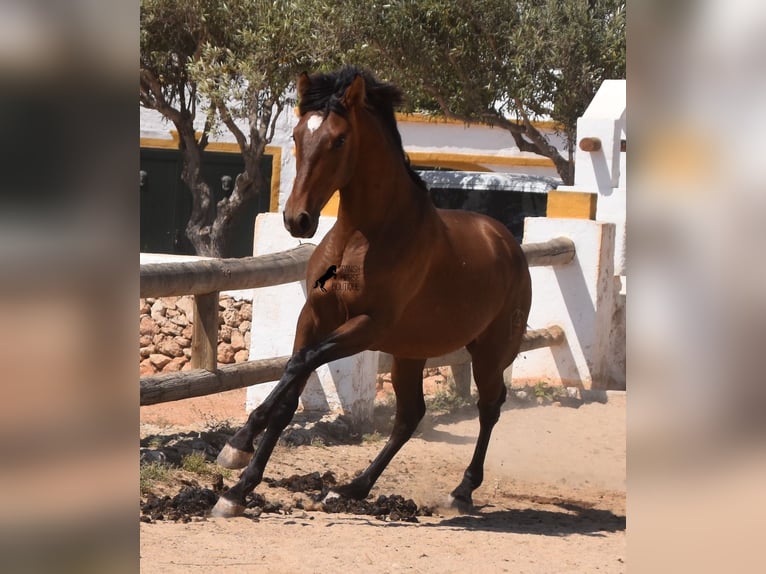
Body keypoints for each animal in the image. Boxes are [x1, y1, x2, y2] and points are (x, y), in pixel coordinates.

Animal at [213, 67, 532, 520]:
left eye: (339, 140)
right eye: (296, 134)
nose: (296, 220)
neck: (364, 237)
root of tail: (507, 241)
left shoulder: (366, 327)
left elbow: (300, 366)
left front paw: (236, 452)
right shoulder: (314, 317)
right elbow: (290, 386)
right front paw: (237, 484)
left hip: (490, 351)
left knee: (489, 408)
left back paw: (461, 491)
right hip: (411, 352)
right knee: (410, 416)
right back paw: (350, 489)